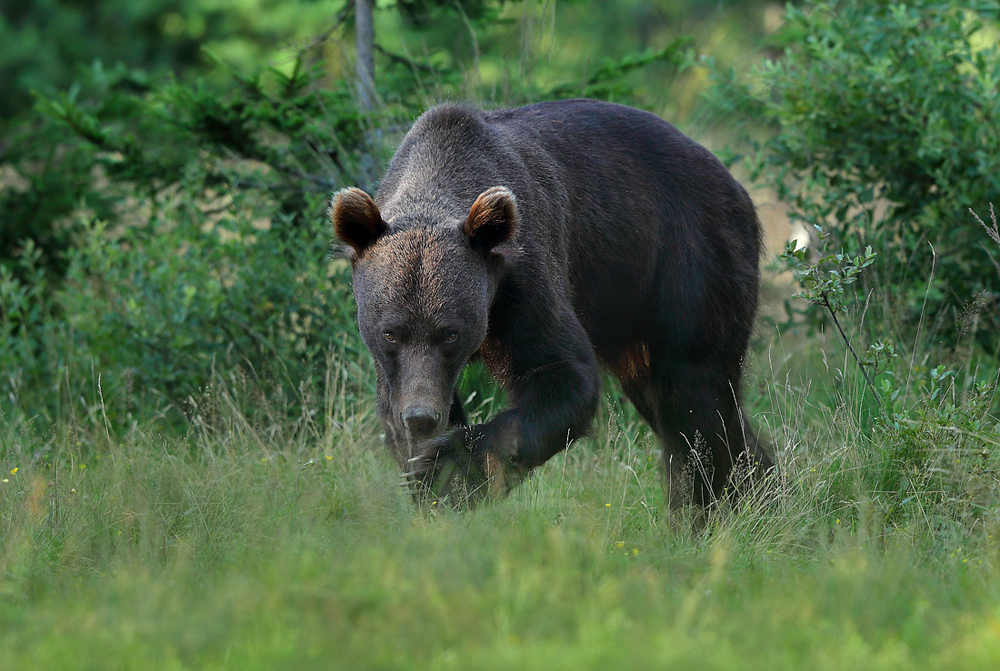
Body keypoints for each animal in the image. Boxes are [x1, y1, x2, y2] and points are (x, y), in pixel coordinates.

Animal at [332, 98, 776, 510]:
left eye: (450, 333)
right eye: (391, 332)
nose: (422, 417)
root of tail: (734, 183)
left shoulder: (524, 276)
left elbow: (560, 373)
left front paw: (451, 463)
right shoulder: (398, 363)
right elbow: (395, 407)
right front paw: (432, 480)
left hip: (687, 256)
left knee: (693, 393)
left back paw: (701, 510)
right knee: (672, 395)